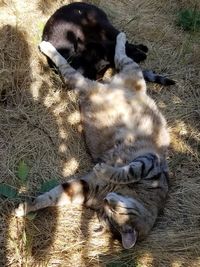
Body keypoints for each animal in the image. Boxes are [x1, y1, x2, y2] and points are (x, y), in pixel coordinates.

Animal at [15, 32, 170, 250]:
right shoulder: (150, 164)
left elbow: (54, 195)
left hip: (84, 84)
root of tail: (106, 85)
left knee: (71, 68)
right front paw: (106, 169)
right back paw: (118, 37)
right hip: (129, 71)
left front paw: (27, 207)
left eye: (109, 214)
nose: (107, 199)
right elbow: (128, 171)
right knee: (117, 56)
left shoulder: (86, 187)